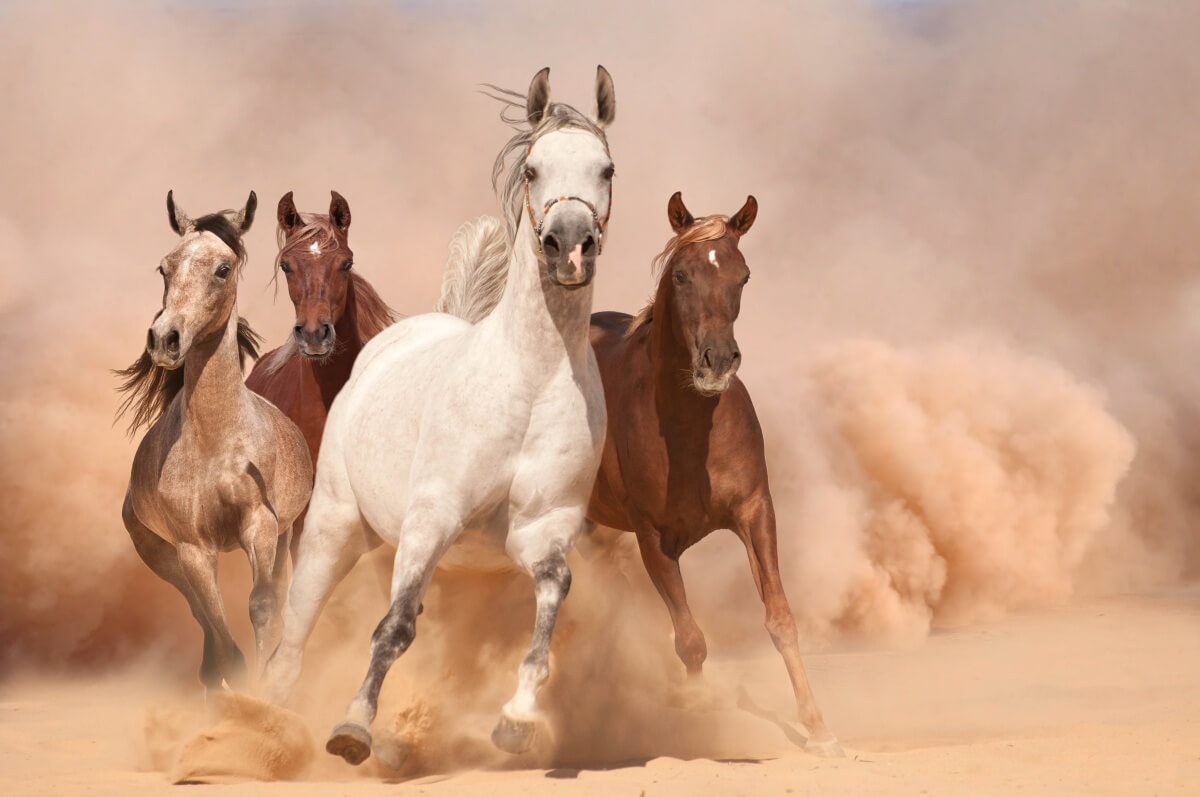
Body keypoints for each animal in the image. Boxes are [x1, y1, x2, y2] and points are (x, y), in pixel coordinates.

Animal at [115, 191, 313, 692]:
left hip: (283, 537)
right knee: (200, 617)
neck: (216, 445)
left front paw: (268, 688)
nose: (164, 339)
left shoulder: (261, 526)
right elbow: (223, 637)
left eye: (223, 269)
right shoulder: (192, 549)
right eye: (165, 268)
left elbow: (263, 606)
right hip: (162, 556)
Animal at [263, 65, 617, 767]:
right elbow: (393, 628)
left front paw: (517, 719)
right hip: (335, 526)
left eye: (606, 168)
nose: (569, 246)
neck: (530, 381)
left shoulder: (542, 530)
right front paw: (352, 728)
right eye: (533, 169)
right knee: (295, 631)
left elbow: (549, 605)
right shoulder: (433, 517)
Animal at [585, 192, 843, 757]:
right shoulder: (652, 538)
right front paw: (698, 716)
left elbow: (780, 619)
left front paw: (818, 729)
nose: (718, 361)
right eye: (681, 275)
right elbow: (690, 639)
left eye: (742, 276)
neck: (688, 428)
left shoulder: (755, 511)